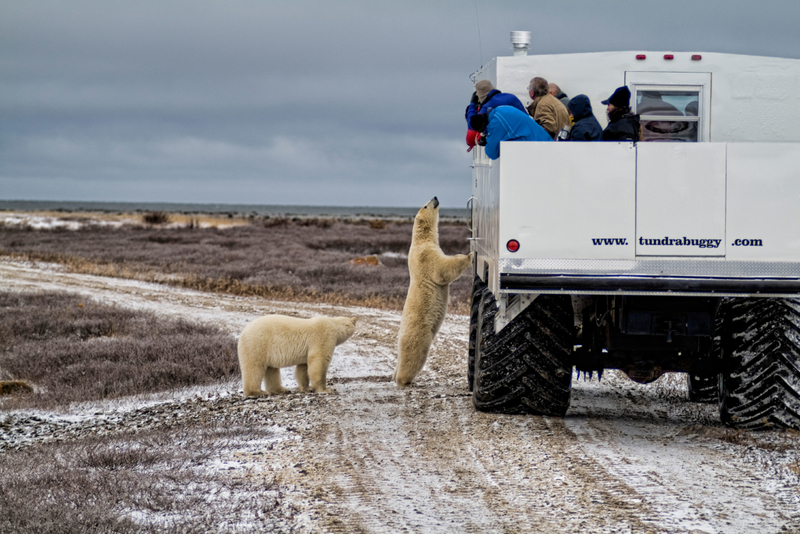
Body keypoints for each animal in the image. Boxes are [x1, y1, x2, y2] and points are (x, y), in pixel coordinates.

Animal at [396, 196, 476, 386]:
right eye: (426, 205)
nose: (435, 197)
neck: (420, 240)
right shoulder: (426, 255)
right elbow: (442, 269)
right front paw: (469, 256)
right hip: (420, 330)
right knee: (414, 353)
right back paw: (403, 379)